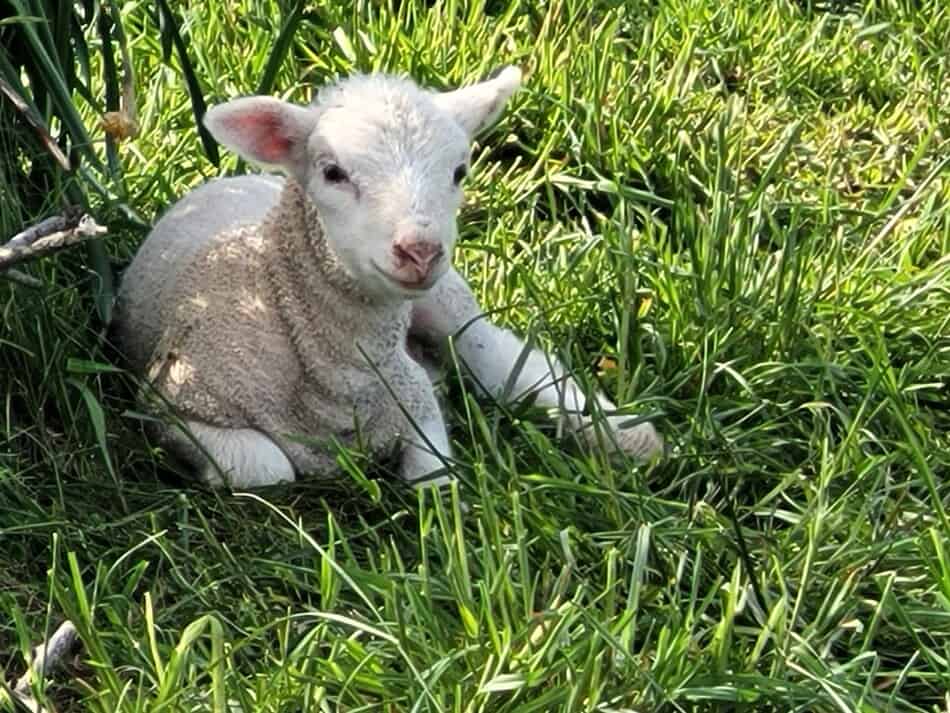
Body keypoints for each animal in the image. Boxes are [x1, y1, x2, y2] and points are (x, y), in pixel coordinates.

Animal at [115, 67, 664, 490]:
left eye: (460, 171)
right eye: (333, 172)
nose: (420, 250)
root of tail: (242, 178)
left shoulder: (408, 392)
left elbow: (436, 474)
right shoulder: (172, 404)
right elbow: (267, 468)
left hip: (449, 298)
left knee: (502, 359)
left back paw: (624, 433)